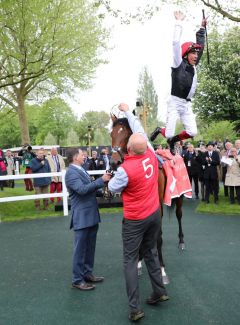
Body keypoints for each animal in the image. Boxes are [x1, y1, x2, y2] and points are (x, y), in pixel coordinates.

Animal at [109, 115, 185, 282]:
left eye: (126, 134)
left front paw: (162, 269)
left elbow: (158, 236)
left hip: (180, 198)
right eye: (112, 134)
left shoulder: (158, 207)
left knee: (179, 215)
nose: (114, 162)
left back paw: (181, 241)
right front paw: (138, 262)